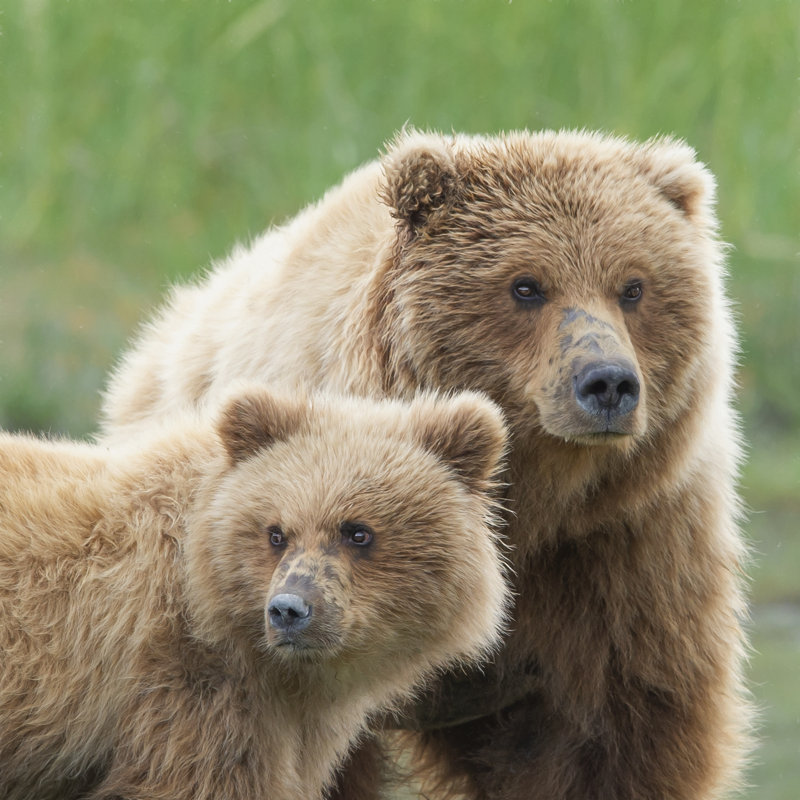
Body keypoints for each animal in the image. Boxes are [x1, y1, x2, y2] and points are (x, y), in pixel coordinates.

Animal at [100, 129, 751, 799]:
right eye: (526, 285)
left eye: (634, 286)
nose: (608, 383)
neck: (528, 498)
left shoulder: (623, 546)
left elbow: (621, 736)